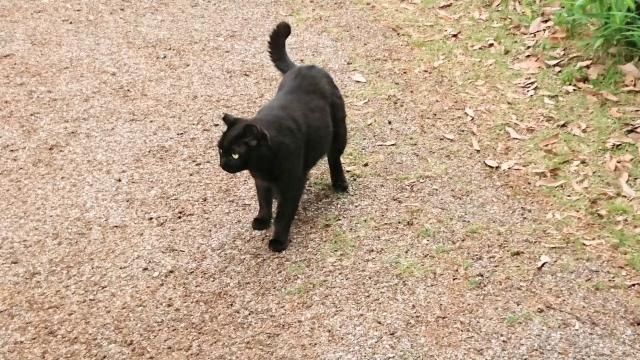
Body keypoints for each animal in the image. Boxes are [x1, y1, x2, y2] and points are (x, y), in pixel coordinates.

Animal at [220, 21, 350, 252]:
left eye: (234, 154)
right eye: (220, 149)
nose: (222, 163)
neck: (261, 164)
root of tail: (302, 67)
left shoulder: (292, 183)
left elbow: (283, 215)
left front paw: (278, 241)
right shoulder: (261, 181)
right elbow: (263, 202)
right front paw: (262, 220)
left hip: (339, 133)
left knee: (334, 158)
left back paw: (339, 184)